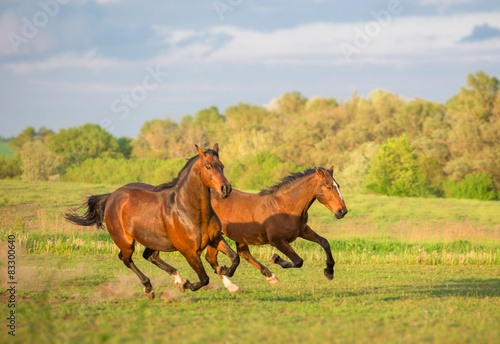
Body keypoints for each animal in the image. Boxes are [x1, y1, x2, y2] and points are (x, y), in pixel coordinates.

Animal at [65, 143, 239, 298]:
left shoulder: (215, 238)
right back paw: (150, 288)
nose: (226, 188)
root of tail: (111, 196)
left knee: (150, 256)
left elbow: (234, 258)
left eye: (221, 166)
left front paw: (226, 275)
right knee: (126, 259)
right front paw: (187, 284)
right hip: (126, 242)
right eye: (208, 166)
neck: (188, 210)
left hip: (153, 240)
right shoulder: (189, 252)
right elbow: (204, 279)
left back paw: (177, 279)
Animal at [206, 167, 348, 290]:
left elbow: (324, 242)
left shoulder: (302, 231)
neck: (283, 206)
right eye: (328, 187)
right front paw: (276, 258)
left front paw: (329, 272)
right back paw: (229, 280)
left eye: (338, 186)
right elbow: (298, 261)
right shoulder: (277, 241)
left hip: (237, 236)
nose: (342, 211)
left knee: (239, 254)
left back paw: (267, 277)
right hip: (216, 235)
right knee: (215, 258)